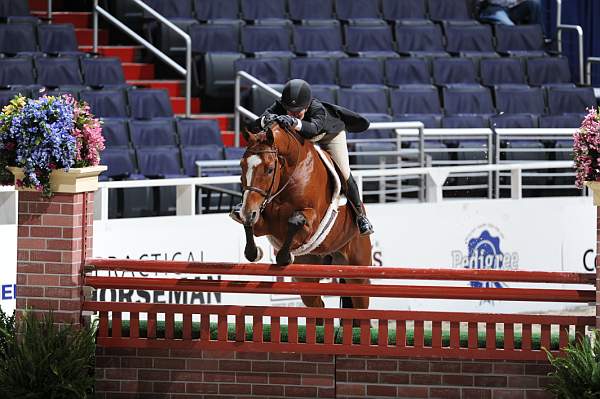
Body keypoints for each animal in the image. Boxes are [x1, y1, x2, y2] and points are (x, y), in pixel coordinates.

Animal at [238, 120, 370, 310]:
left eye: (269, 169)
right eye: (242, 166)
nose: (248, 212)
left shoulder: (312, 221)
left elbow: (295, 221)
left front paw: (285, 256)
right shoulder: (264, 220)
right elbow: (251, 224)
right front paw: (253, 252)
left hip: (358, 273)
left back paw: (364, 224)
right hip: (307, 276)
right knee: (317, 305)